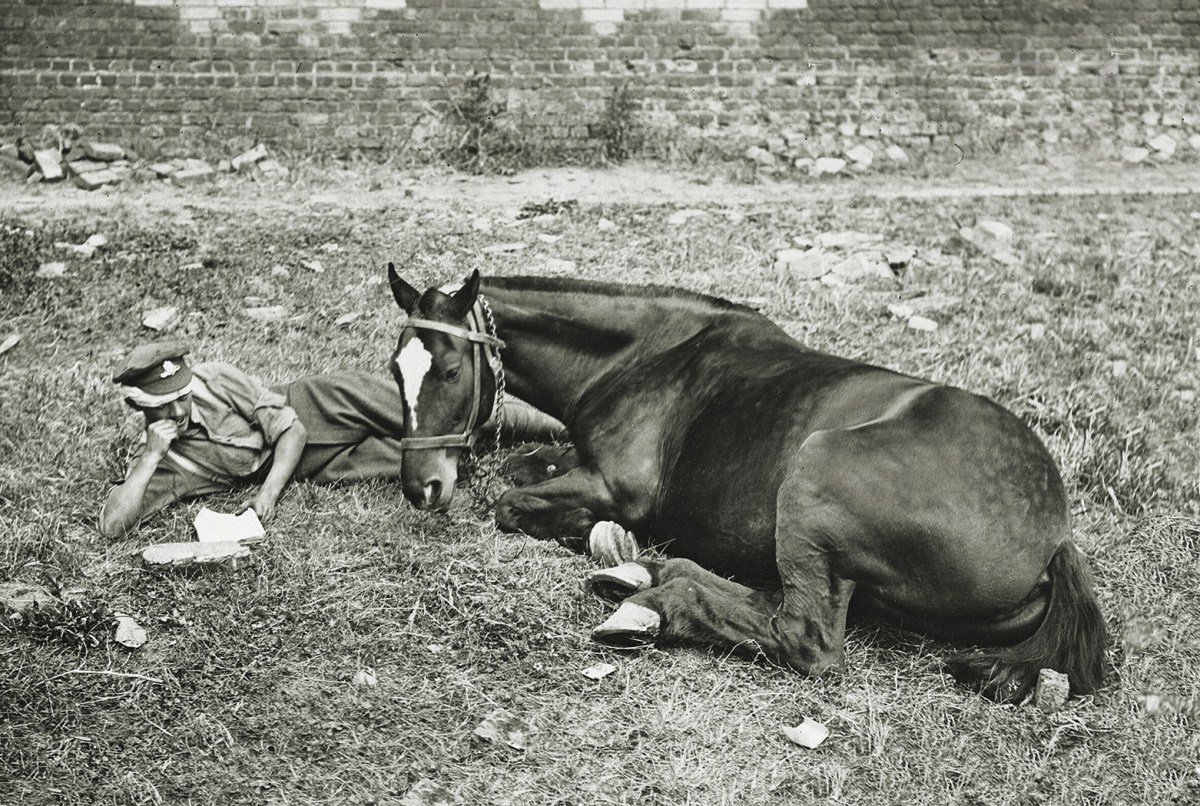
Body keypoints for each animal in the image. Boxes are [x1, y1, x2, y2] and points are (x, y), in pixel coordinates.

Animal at [385, 265, 1108, 703]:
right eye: (396, 369)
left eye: (449, 370)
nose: (421, 486)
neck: (645, 355)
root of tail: (1055, 539)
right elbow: (526, 468)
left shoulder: (618, 487)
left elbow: (512, 504)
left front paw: (599, 535)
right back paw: (647, 577)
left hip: (814, 473)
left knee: (804, 636)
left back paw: (652, 603)